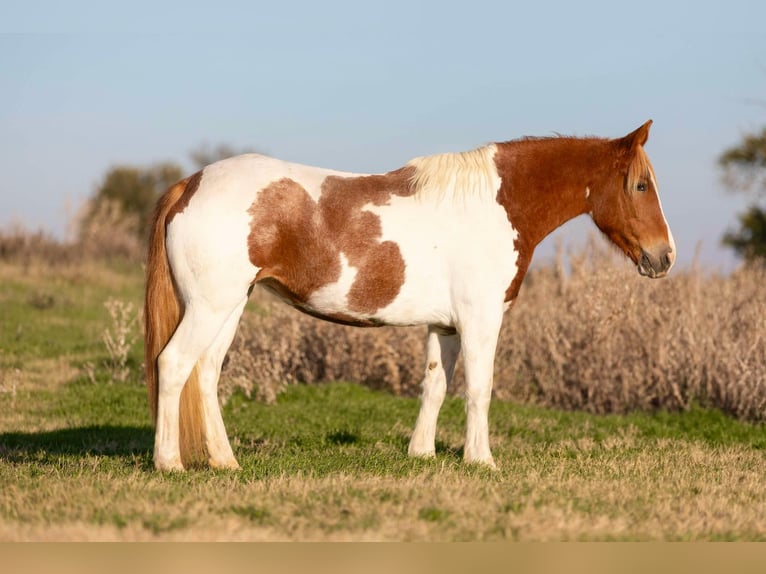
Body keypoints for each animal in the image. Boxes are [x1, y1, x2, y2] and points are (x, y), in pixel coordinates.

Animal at [144, 120, 675, 471]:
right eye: (640, 185)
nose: (664, 256)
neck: (498, 205)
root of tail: (190, 184)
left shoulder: (445, 325)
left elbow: (435, 385)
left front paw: (422, 453)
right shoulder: (480, 320)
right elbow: (479, 389)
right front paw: (481, 461)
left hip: (229, 307)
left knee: (205, 373)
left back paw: (225, 463)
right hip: (210, 307)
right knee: (173, 365)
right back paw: (169, 463)